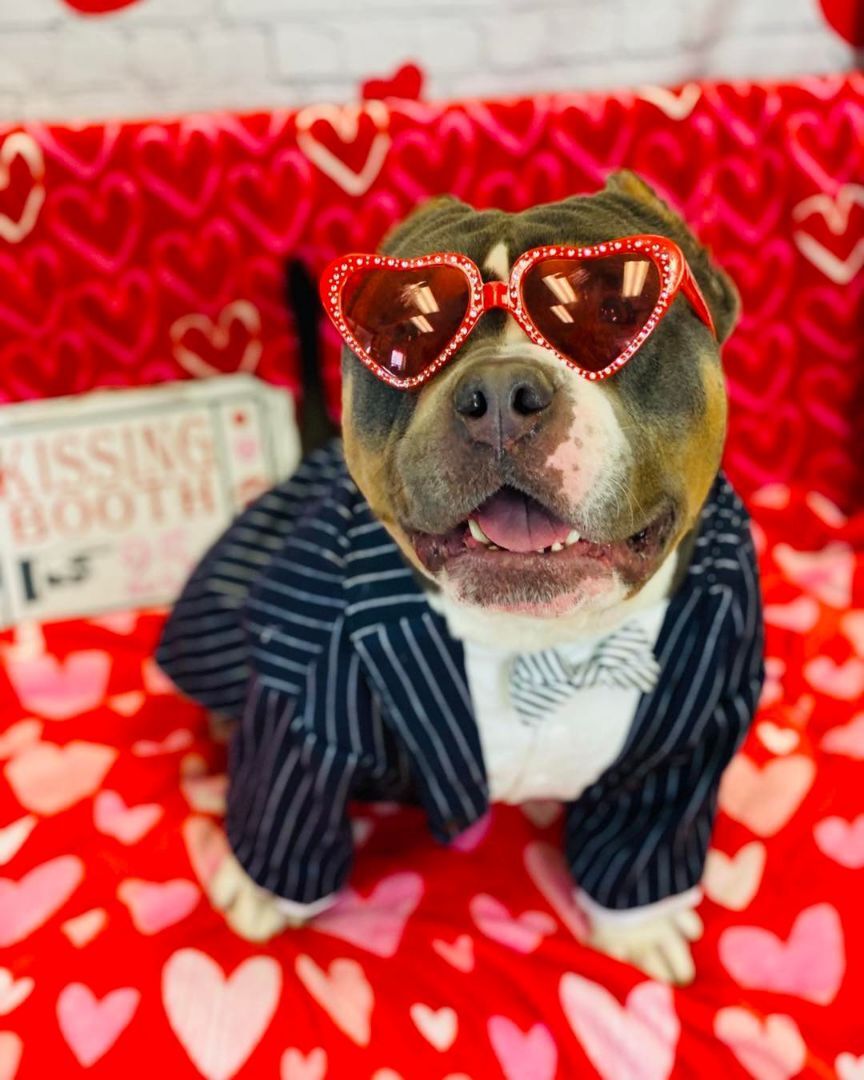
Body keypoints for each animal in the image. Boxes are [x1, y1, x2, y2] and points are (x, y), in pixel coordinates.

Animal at [157, 171, 764, 985]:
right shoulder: (304, 698)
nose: (501, 394)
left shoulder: (697, 725)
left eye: (614, 310)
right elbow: (288, 800)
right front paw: (264, 894)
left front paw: (637, 928)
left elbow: (646, 836)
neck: (539, 639)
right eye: (404, 329)